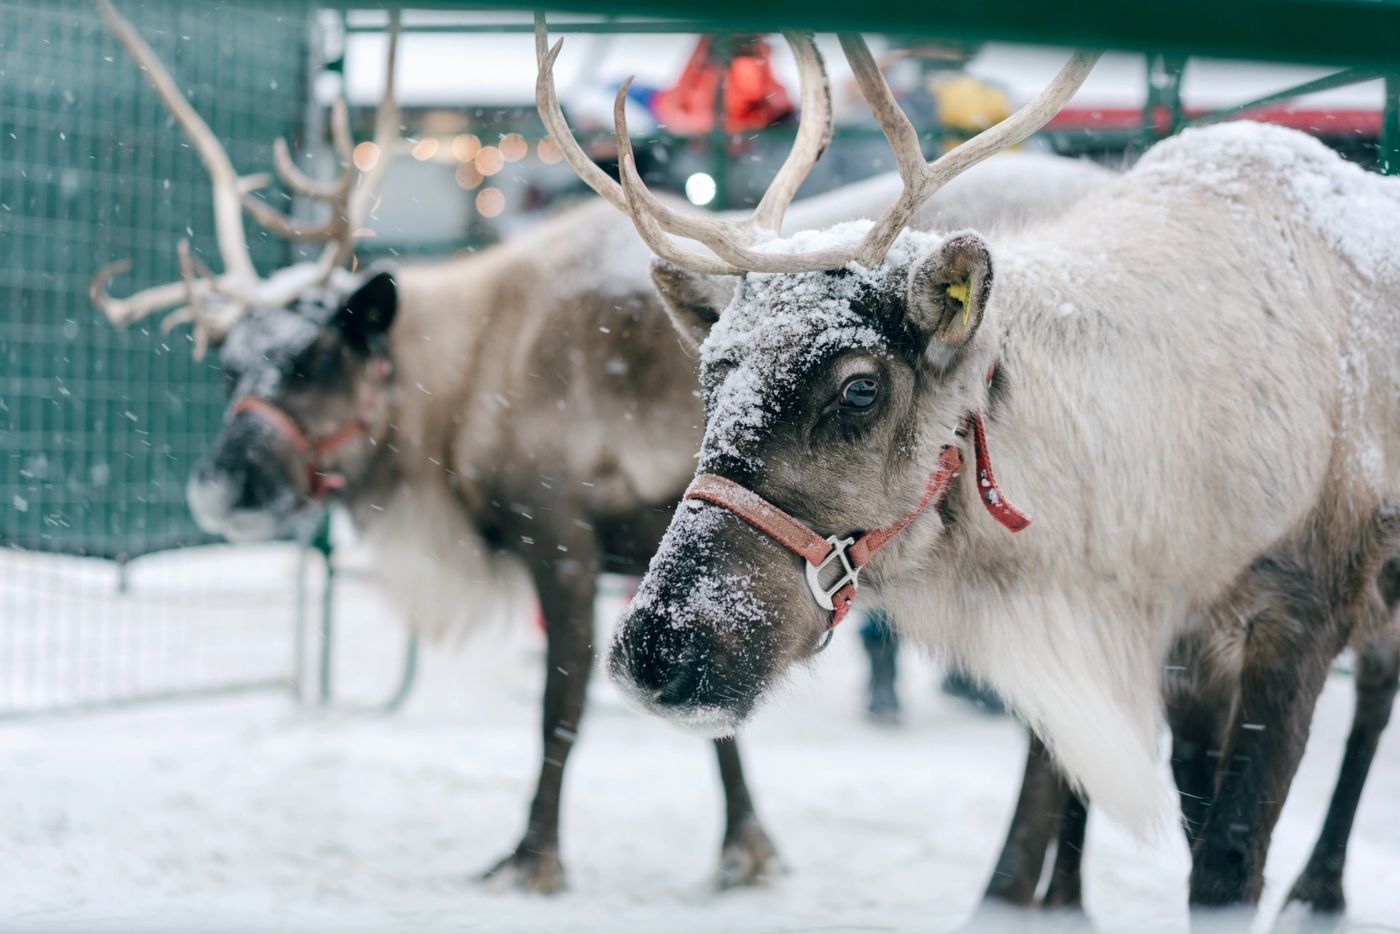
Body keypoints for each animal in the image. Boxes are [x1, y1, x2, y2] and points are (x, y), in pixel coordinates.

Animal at [89, 0, 1117, 895]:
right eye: (228, 362)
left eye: (312, 359)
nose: (218, 487)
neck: (468, 377)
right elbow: (713, 718)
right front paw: (747, 851)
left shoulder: (560, 534)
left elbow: (565, 706)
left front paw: (533, 859)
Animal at [543, 19, 1400, 911]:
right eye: (710, 373)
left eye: (859, 388)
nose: (656, 650)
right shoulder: (1182, 646)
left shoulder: (1298, 612)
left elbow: (1227, 860)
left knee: (1375, 699)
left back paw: (1322, 887)